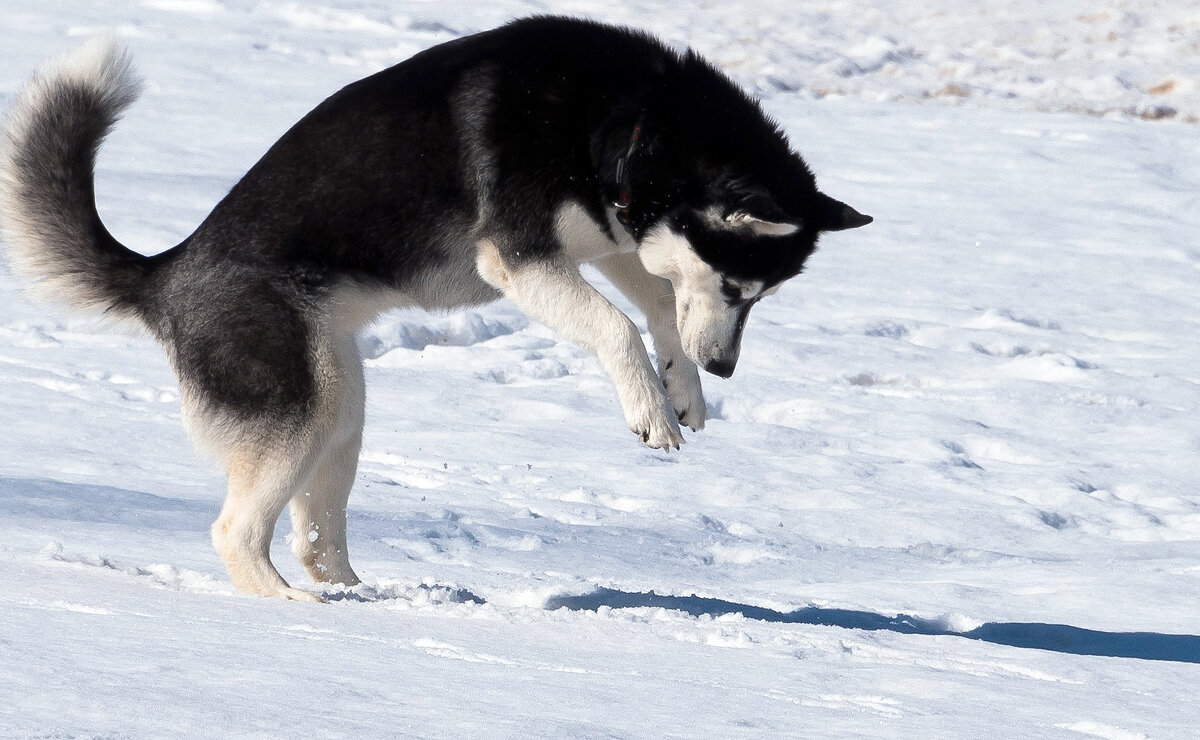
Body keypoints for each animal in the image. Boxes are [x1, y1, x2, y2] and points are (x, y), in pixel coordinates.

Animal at [0, 17, 868, 597]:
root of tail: (168, 272)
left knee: (315, 534)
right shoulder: (519, 256)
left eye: (762, 297)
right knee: (234, 533)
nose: (726, 368)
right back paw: (290, 610)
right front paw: (651, 408)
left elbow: (657, 302)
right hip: (296, 407)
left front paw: (681, 385)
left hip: (338, 407)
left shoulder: (610, 240)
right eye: (740, 290)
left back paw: (364, 600)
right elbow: (617, 325)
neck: (625, 126)